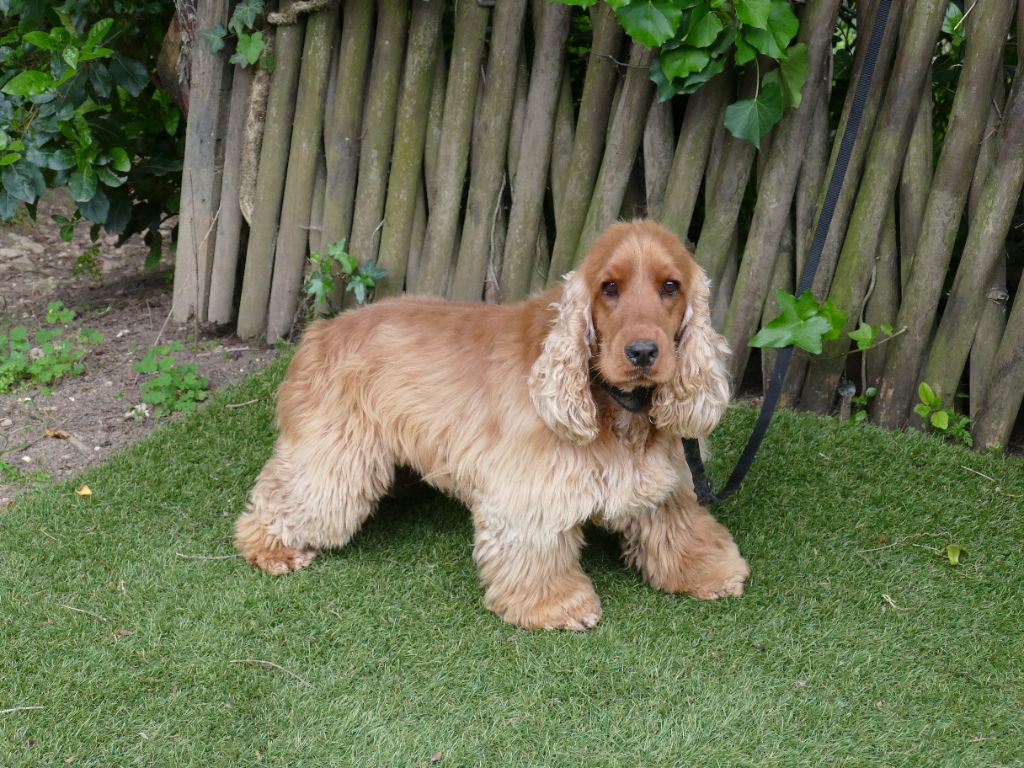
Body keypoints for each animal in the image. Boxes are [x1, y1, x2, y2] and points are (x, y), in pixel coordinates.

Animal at [236, 220, 749, 630]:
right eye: (609, 288)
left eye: (670, 286)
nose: (642, 353)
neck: (618, 407)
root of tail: (320, 332)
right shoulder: (529, 489)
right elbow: (536, 550)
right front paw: (555, 606)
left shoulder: (667, 479)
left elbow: (679, 526)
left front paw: (709, 569)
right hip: (337, 457)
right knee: (288, 496)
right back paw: (273, 546)